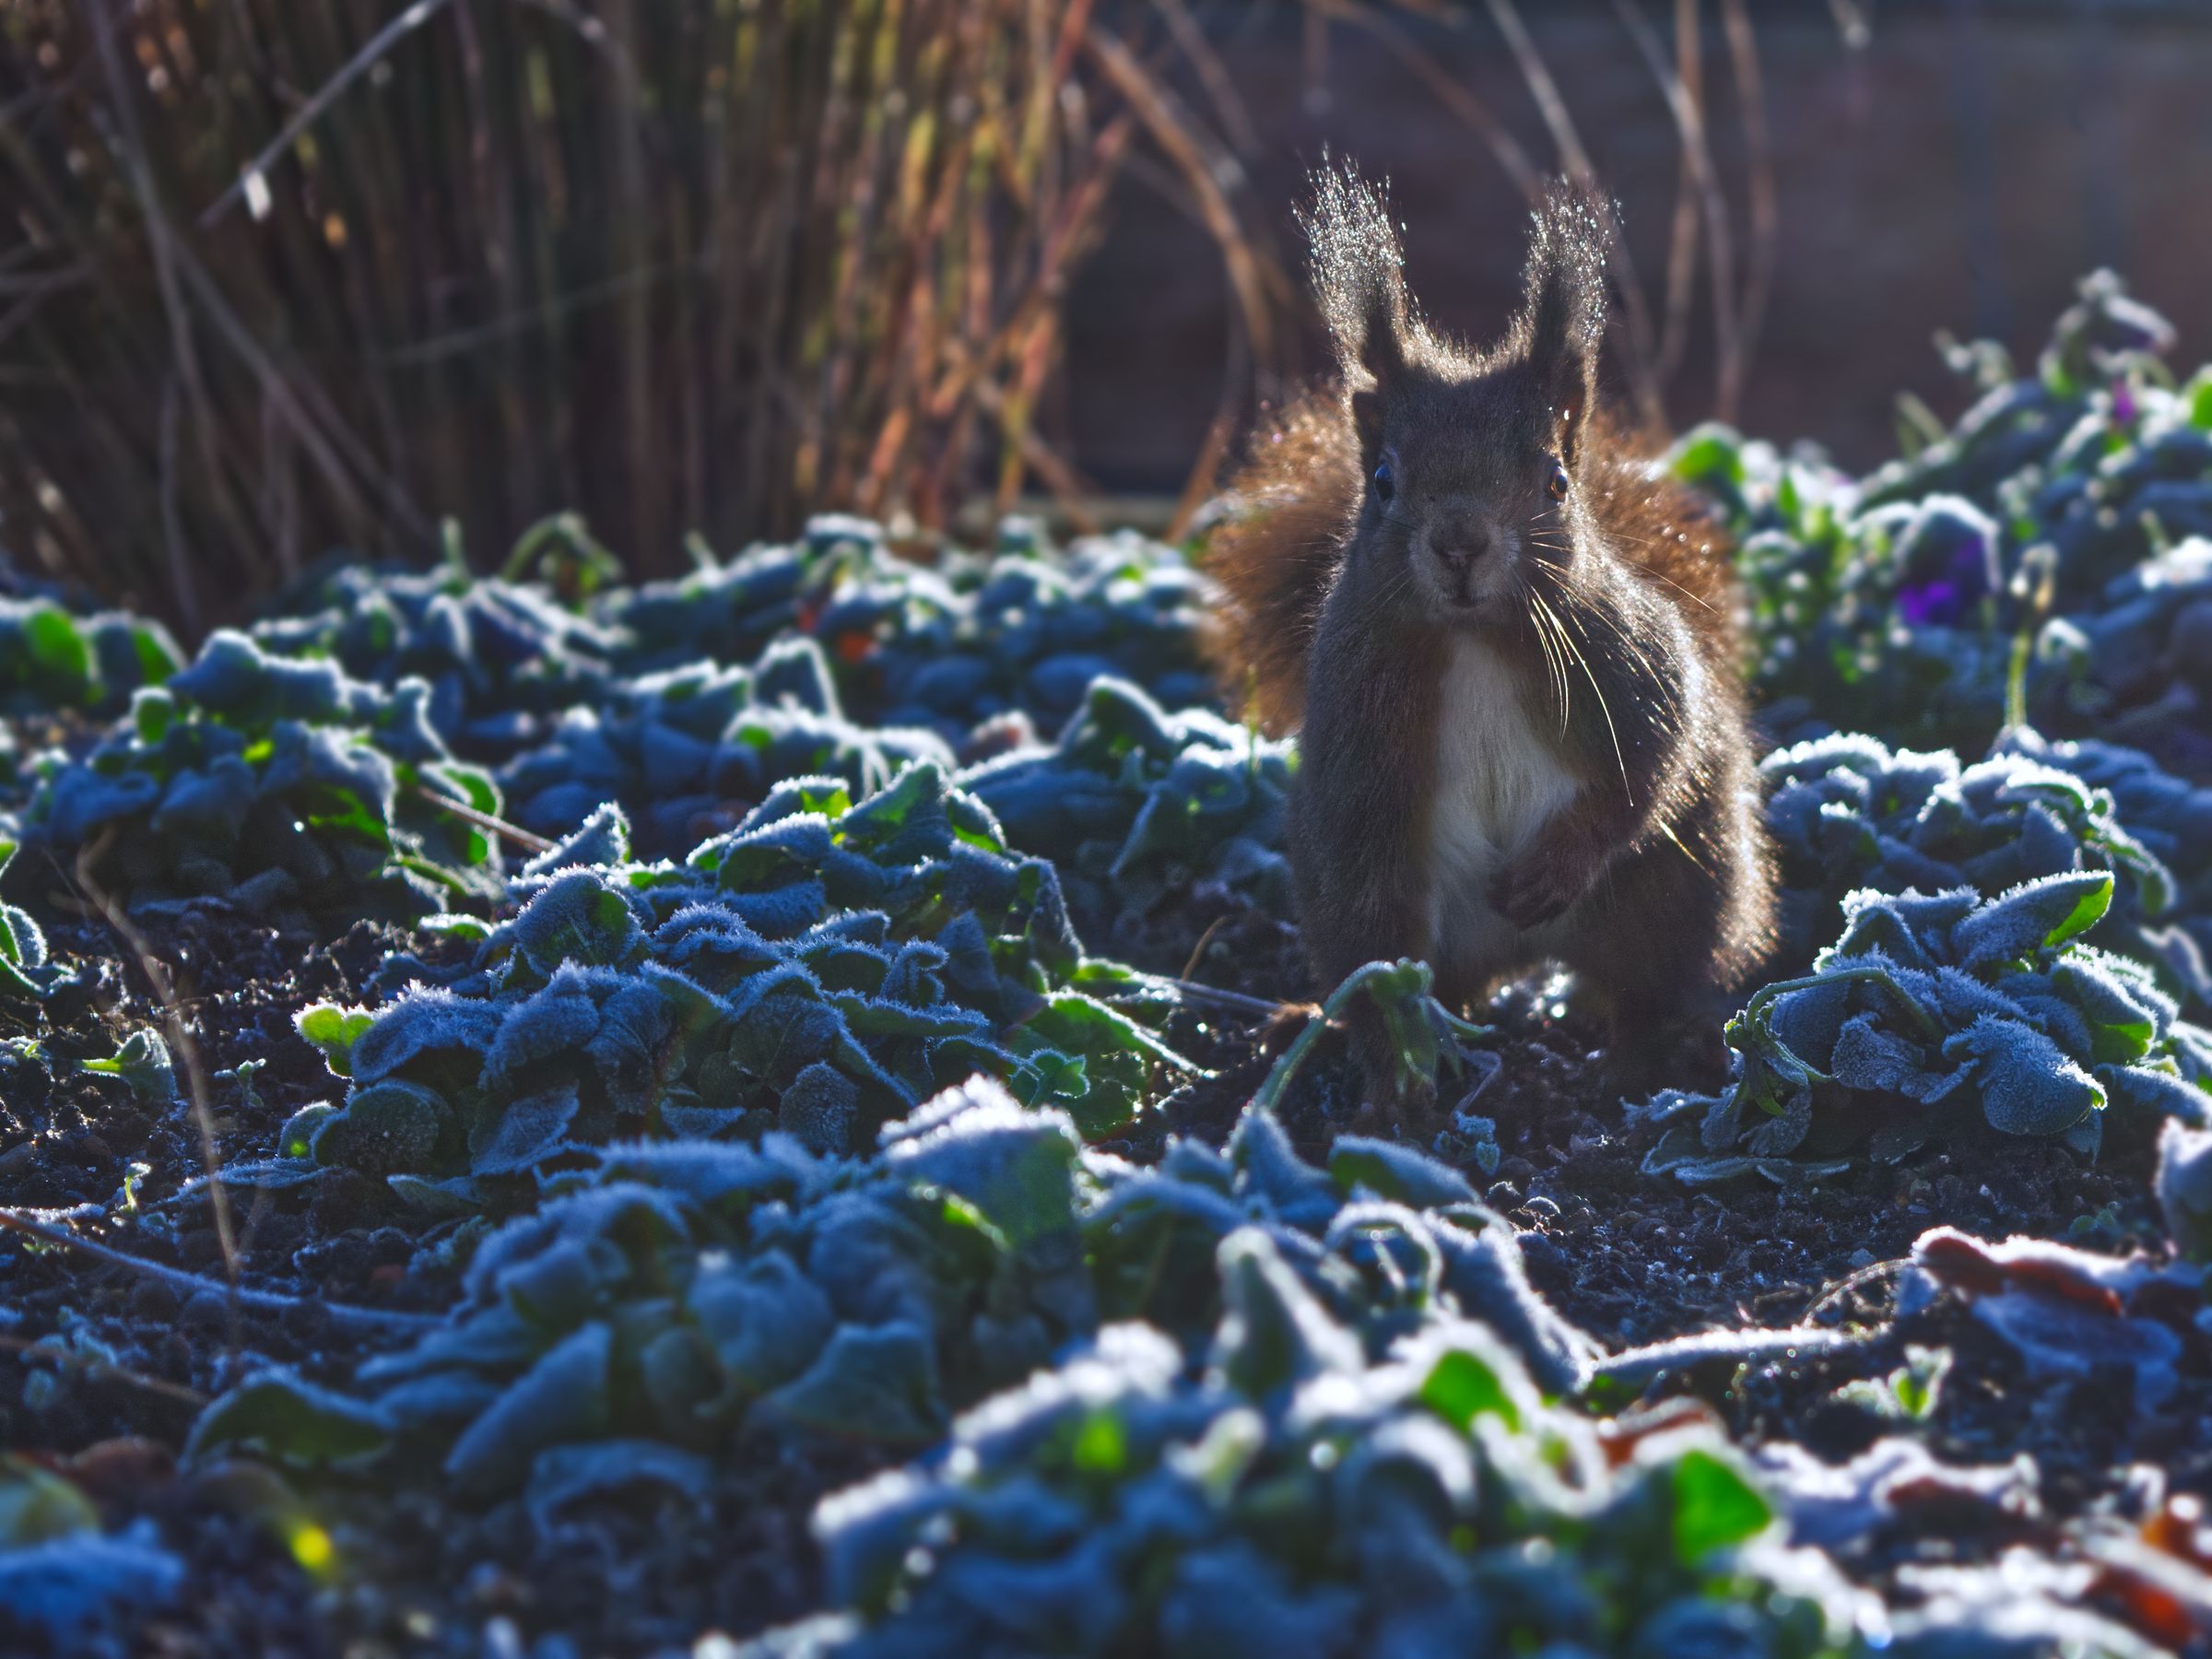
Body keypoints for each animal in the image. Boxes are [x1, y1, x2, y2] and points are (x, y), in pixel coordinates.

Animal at [1203, 169, 1787, 1110]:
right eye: (1383, 480)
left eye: (1554, 480)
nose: (1460, 544)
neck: (1475, 640)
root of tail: (1518, 961)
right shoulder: (1357, 749)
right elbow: (1377, 915)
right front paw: (1395, 1075)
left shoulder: (1632, 663)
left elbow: (1648, 768)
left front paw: (1557, 864)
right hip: (1381, 914)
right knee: (1403, 970)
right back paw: (1324, 1027)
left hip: (1683, 883)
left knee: (1649, 977)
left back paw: (1654, 1050)